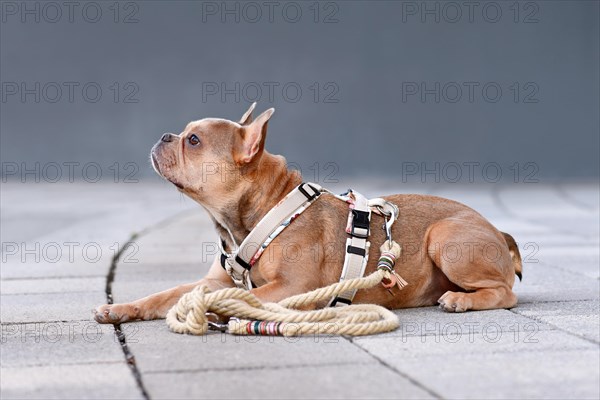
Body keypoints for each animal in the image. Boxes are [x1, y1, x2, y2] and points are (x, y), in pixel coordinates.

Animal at [94, 101, 520, 324]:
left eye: (194, 141)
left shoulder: (293, 287)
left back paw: (463, 300)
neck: (267, 214)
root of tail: (499, 233)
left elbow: (250, 295)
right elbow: (168, 294)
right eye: (184, 134)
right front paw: (122, 308)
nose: (166, 136)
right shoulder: (213, 281)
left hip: (445, 238)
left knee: (506, 293)